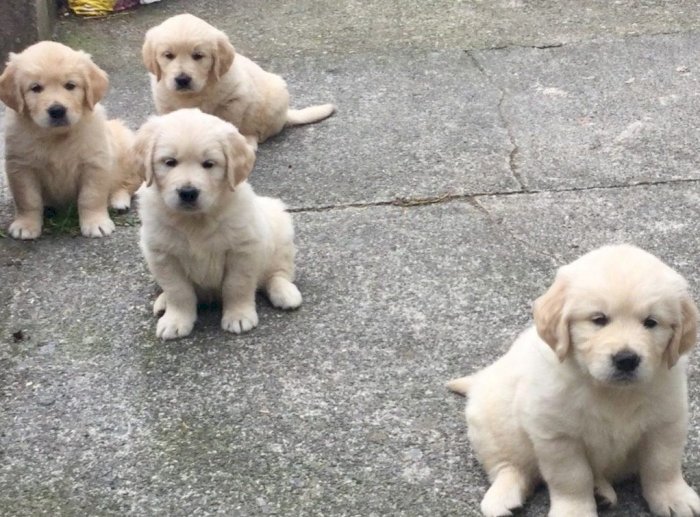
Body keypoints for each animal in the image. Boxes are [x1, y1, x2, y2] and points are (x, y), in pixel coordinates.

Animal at [0, 41, 142, 239]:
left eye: (70, 85)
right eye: (35, 88)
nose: (57, 110)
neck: (56, 136)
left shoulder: (94, 164)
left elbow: (90, 197)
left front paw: (96, 223)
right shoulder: (21, 166)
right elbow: (28, 200)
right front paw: (26, 225)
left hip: (127, 149)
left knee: (129, 184)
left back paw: (118, 201)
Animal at [136, 108, 300, 338]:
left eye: (208, 164)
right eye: (169, 162)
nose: (188, 192)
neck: (195, 221)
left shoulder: (242, 249)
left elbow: (236, 285)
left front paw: (239, 316)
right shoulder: (162, 255)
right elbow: (177, 290)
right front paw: (176, 320)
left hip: (281, 231)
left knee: (277, 273)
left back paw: (285, 292)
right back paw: (163, 302)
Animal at [143, 14, 336, 143]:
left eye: (198, 56)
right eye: (168, 55)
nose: (182, 79)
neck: (197, 92)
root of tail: (286, 115)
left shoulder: (234, 99)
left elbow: (229, 124)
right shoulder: (166, 105)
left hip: (275, 98)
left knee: (259, 133)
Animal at [448, 245, 700, 516]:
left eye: (651, 322)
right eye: (599, 319)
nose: (626, 360)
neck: (611, 392)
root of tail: (480, 380)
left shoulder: (666, 422)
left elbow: (663, 465)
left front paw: (674, 498)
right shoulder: (557, 435)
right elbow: (572, 477)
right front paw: (575, 510)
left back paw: (601, 490)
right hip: (491, 422)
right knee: (509, 465)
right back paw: (504, 495)